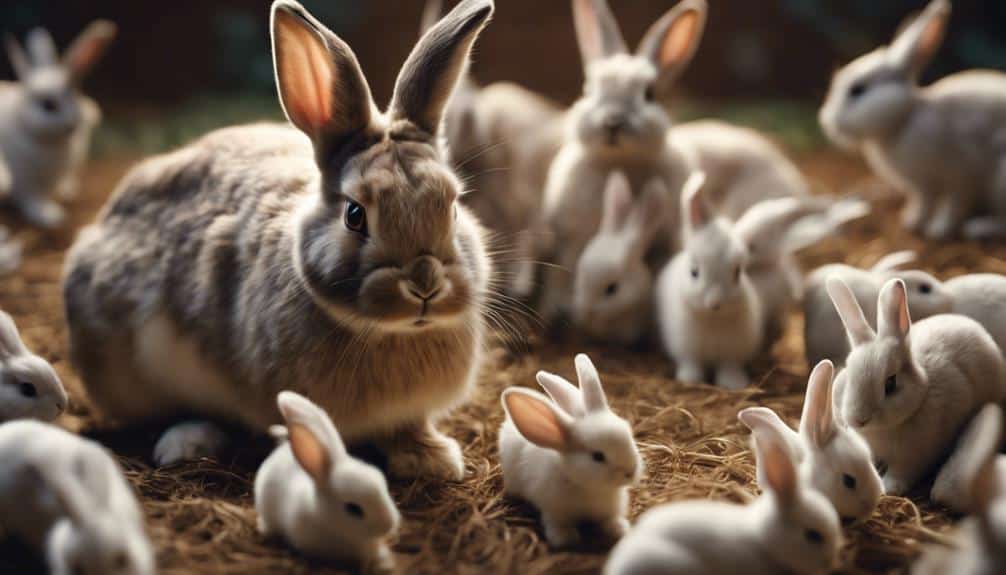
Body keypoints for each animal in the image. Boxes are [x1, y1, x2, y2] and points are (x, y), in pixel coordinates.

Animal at [1, 21, 116, 228]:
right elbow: (31, 199)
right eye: (49, 105)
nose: (72, 125)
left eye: (76, 96)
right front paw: (51, 217)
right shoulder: (24, 179)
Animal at [62, 0, 496, 479]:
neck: (388, 332)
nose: (424, 284)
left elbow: (408, 427)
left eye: (452, 207)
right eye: (355, 215)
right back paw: (187, 442)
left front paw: (431, 460)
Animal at [499, 353, 642, 548]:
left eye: (629, 435)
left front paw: (620, 529)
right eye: (598, 456)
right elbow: (557, 523)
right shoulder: (553, 509)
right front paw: (565, 539)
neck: (588, 487)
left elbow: (610, 519)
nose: (630, 471)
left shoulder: (610, 509)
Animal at [820, 0, 1006, 240]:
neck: (904, 119)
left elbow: (953, 205)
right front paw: (912, 222)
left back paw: (980, 227)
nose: (827, 123)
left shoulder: (960, 176)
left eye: (858, 90)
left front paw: (938, 231)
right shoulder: (922, 186)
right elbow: (923, 202)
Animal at [827, 277, 1006, 497]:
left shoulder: (913, 458)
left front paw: (889, 487)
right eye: (847, 373)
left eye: (890, 384)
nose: (857, 419)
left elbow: (901, 472)